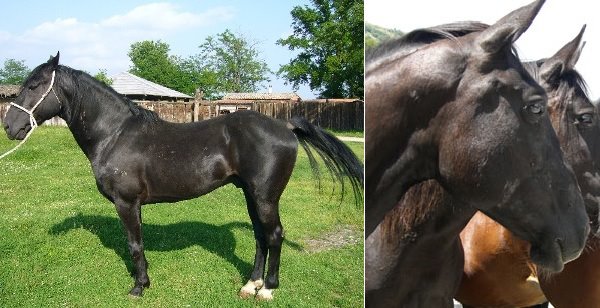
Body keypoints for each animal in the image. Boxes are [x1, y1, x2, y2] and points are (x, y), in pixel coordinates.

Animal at [3, 52, 360, 298]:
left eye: (33, 86)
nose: (9, 126)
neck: (115, 134)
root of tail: (284, 126)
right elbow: (139, 244)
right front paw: (144, 282)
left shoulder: (125, 203)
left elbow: (134, 245)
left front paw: (138, 288)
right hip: (251, 195)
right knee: (261, 236)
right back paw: (250, 285)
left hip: (265, 197)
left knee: (274, 235)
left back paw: (268, 289)